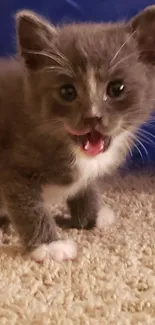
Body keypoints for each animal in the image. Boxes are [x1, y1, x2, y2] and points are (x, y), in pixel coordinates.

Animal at [0, 6, 155, 260]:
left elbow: (86, 186)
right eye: (67, 92)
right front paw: (49, 245)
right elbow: (28, 205)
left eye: (116, 88)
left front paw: (92, 216)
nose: (93, 117)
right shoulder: (13, 167)